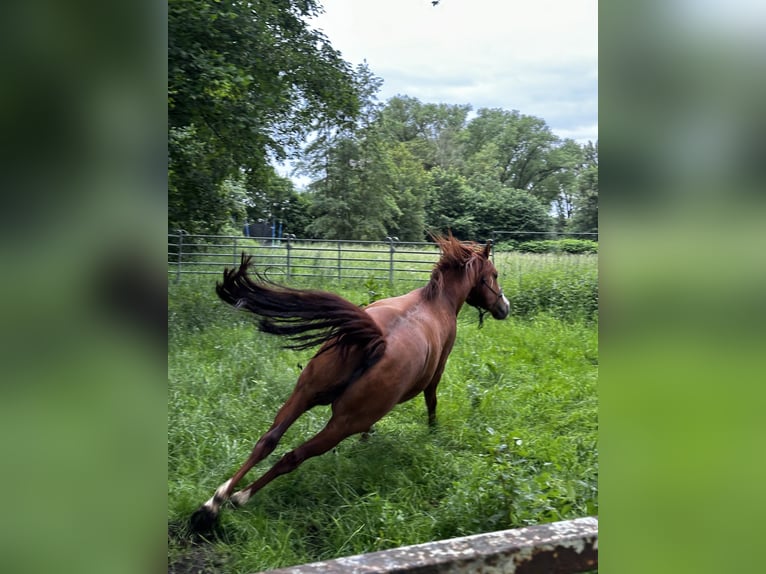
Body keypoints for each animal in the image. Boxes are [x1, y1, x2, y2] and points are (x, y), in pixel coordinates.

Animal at [191, 236, 510, 532]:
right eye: (494, 274)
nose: (504, 307)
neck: (436, 302)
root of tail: (375, 341)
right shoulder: (437, 372)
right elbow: (432, 402)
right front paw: (432, 431)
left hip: (304, 394)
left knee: (267, 441)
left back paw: (215, 501)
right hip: (341, 424)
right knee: (292, 457)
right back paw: (239, 497)